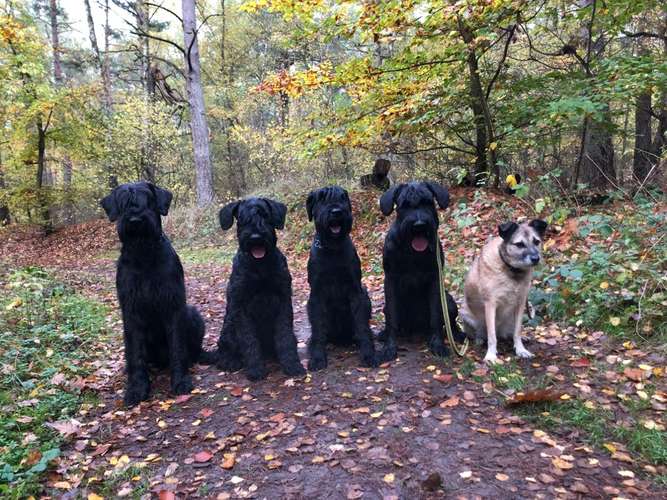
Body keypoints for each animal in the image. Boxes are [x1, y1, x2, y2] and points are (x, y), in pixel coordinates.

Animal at [101, 181, 214, 406]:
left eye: (149, 199)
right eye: (123, 202)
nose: (135, 219)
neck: (144, 256)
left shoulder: (173, 305)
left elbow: (177, 346)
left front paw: (180, 381)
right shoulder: (131, 311)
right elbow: (135, 353)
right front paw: (137, 388)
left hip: (192, 314)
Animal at [215, 197, 306, 380]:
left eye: (265, 215)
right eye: (242, 218)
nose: (256, 237)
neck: (260, 266)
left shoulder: (283, 301)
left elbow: (285, 336)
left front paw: (292, 365)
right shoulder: (241, 307)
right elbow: (249, 340)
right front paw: (256, 369)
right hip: (229, 326)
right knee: (224, 349)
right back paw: (230, 361)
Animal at [306, 186, 378, 370]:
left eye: (343, 197)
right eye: (321, 198)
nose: (337, 212)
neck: (332, 248)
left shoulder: (356, 290)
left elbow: (361, 325)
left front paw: (368, 354)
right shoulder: (316, 294)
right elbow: (318, 328)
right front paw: (317, 358)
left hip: (365, 294)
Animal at [378, 182, 468, 362]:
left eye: (428, 202)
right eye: (404, 205)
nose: (419, 225)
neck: (412, 252)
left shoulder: (435, 279)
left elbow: (435, 316)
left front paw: (438, 344)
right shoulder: (390, 280)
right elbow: (391, 317)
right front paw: (389, 347)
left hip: (449, 301)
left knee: (450, 322)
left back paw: (457, 335)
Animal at [460, 219, 548, 364]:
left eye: (536, 241)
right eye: (519, 244)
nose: (536, 258)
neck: (512, 271)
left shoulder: (520, 303)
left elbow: (517, 332)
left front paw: (520, 349)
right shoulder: (490, 304)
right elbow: (492, 336)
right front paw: (491, 355)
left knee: (510, 333)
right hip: (465, 314)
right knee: (481, 334)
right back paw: (479, 339)